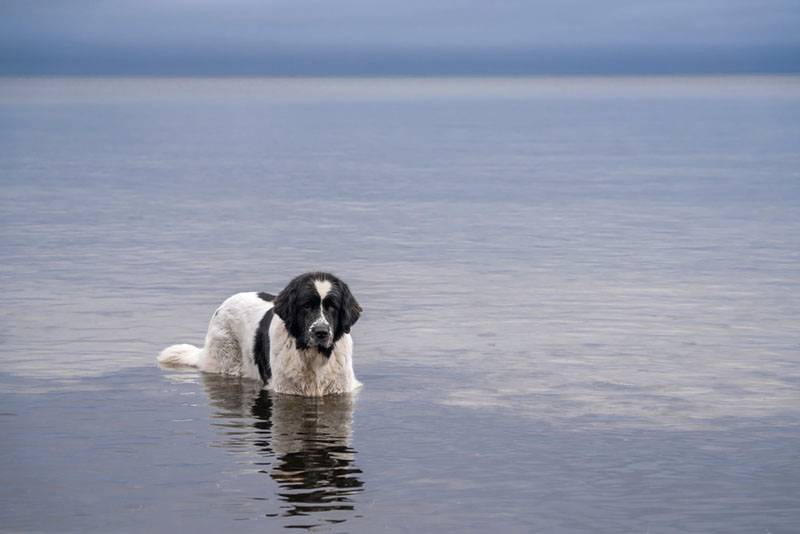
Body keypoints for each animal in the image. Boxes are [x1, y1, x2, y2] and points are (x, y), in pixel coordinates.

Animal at [159, 274, 362, 396]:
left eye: (332, 307)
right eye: (306, 306)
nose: (321, 332)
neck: (313, 355)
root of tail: (222, 306)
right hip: (227, 362)